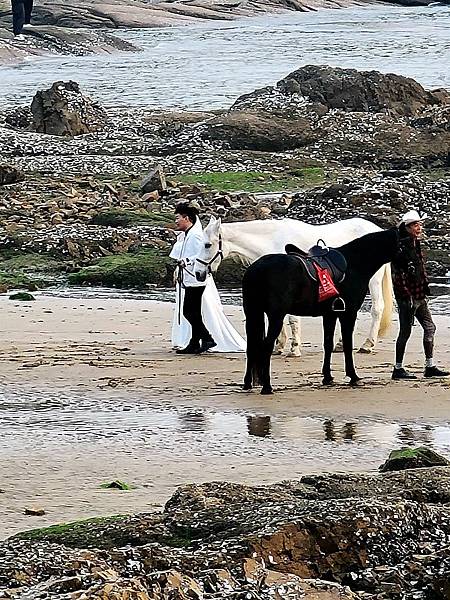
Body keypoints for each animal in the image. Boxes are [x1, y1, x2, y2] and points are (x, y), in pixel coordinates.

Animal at [195, 217, 392, 354]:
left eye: (208, 245)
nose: (198, 273)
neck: (273, 242)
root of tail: (377, 230)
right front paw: (279, 346)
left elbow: (291, 318)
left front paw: (294, 348)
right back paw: (342, 344)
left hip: (373, 281)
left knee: (377, 309)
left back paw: (367, 345)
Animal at [243, 226, 398, 394]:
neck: (353, 263)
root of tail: (257, 270)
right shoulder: (348, 313)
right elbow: (347, 344)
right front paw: (353, 376)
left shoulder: (330, 314)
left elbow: (328, 344)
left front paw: (327, 377)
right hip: (275, 316)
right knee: (265, 346)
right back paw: (267, 386)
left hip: (253, 313)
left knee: (251, 346)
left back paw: (247, 383)